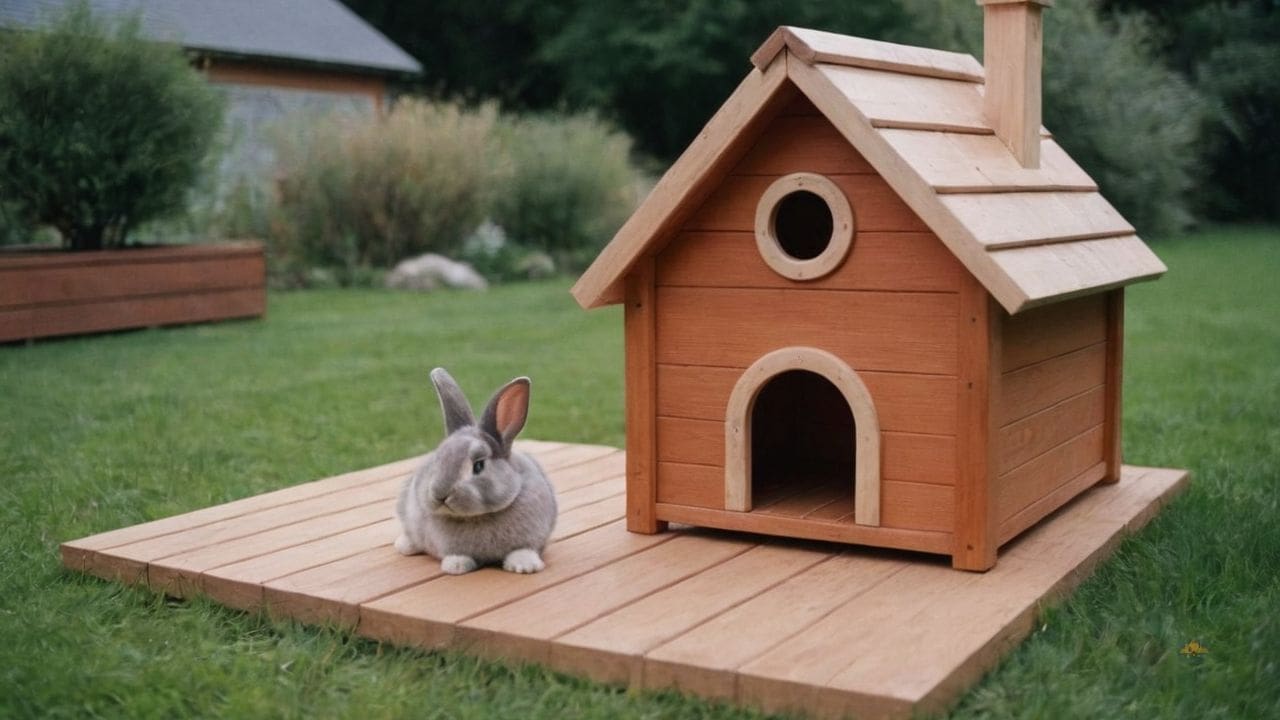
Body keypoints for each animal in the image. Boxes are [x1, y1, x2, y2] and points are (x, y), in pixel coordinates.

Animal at [394, 366, 555, 568]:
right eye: (438, 458)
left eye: (478, 466)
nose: (440, 494)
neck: (479, 516)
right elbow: (457, 554)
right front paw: (456, 565)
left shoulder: (532, 538)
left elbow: (523, 550)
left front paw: (525, 566)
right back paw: (404, 545)